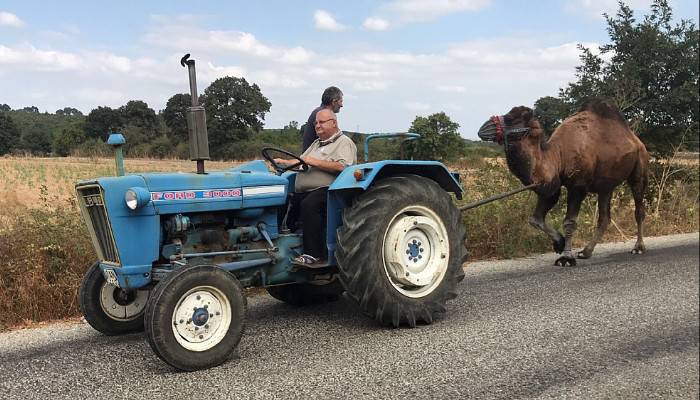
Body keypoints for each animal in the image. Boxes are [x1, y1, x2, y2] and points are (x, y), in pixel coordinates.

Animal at [476, 97, 652, 266]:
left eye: (511, 118)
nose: (481, 129)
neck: (558, 156)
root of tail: (637, 141)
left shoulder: (578, 187)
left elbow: (569, 222)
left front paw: (566, 258)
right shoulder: (551, 185)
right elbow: (535, 219)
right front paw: (559, 243)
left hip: (640, 165)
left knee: (638, 207)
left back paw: (638, 247)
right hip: (606, 185)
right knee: (604, 217)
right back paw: (586, 252)